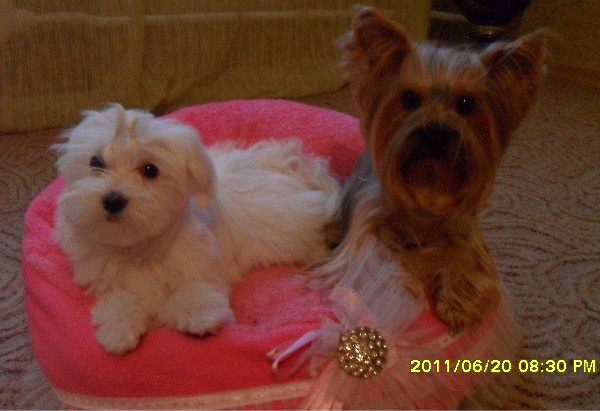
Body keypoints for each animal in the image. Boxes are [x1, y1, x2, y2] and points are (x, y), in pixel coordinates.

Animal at [54, 104, 340, 354]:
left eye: (150, 170)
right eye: (95, 162)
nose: (113, 200)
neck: (141, 245)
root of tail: (290, 168)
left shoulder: (202, 262)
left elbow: (195, 287)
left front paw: (198, 314)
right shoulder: (106, 276)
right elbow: (120, 296)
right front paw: (118, 327)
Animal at [312, 6, 547, 332]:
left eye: (466, 103)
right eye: (410, 98)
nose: (436, 132)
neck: (430, 178)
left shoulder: (463, 227)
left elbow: (466, 259)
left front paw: (459, 305)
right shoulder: (368, 219)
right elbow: (374, 255)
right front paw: (399, 289)